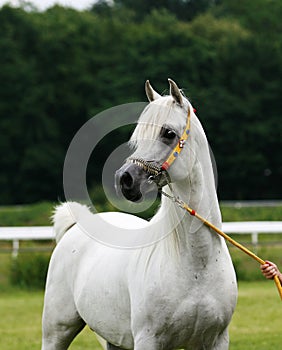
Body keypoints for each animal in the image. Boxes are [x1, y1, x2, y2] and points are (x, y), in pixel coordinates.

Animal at [41, 80, 237, 350]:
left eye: (168, 133)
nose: (124, 180)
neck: (198, 265)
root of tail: (77, 225)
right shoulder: (148, 340)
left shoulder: (216, 340)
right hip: (56, 332)